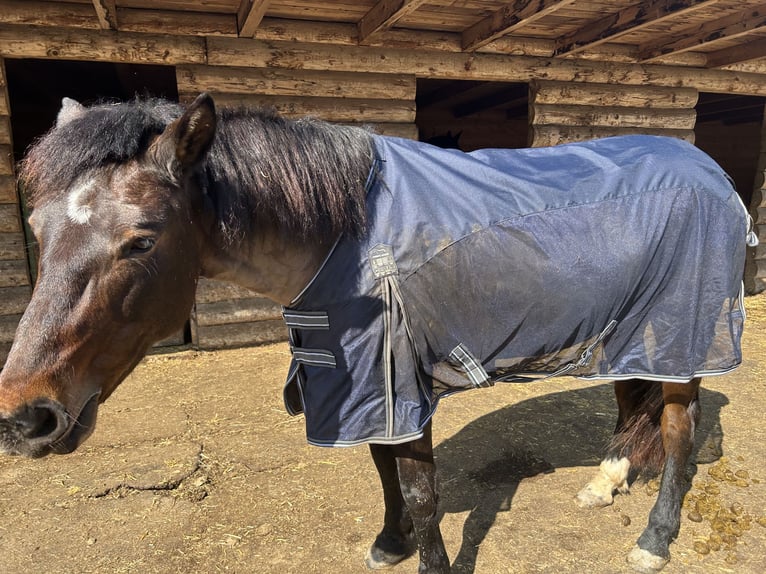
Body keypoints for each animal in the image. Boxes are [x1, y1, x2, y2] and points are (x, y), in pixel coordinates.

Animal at [0, 93, 752, 574]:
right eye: (36, 227)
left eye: (141, 240)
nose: (26, 417)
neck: (345, 236)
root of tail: (712, 173)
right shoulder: (359, 381)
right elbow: (383, 470)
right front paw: (390, 543)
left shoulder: (398, 379)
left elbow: (419, 490)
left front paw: (429, 562)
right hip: (634, 330)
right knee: (630, 402)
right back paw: (605, 482)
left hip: (685, 335)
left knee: (677, 435)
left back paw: (654, 540)